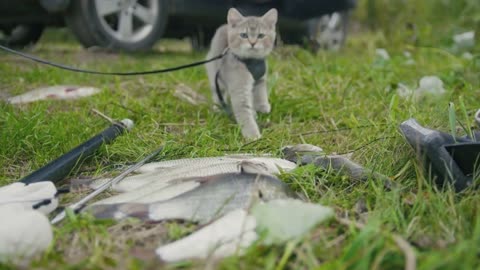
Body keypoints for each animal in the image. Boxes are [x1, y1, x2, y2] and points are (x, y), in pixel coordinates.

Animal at [205, 7, 278, 140]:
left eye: (261, 35)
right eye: (244, 35)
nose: (253, 43)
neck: (251, 61)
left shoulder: (260, 79)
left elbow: (260, 92)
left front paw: (262, 106)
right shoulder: (240, 88)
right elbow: (244, 111)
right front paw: (252, 135)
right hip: (214, 74)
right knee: (217, 92)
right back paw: (217, 108)